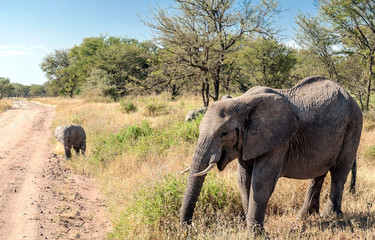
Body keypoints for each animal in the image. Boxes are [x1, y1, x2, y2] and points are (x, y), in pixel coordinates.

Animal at [181, 77, 362, 236]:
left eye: (223, 133)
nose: (189, 230)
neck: (243, 101)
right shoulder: (248, 142)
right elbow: (243, 180)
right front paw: (253, 230)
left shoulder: (278, 140)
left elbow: (261, 182)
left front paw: (257, 235)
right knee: (319, 173)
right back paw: (306, 216)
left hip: (353, 125)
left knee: (338, 172)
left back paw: (330, 216)